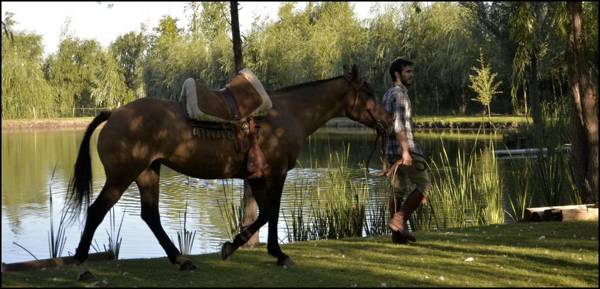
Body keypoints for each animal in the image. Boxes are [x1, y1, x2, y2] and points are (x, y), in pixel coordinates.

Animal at [67, 64, 394, 278]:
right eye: (368, 91)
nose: (389, 120)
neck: (288, 114)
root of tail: (114, 113)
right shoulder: (276, 175)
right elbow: (271, 214)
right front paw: (278, 254)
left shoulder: (258, 177)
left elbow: (263, 214)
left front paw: (234, 246)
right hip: (122, 176)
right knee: (97, 210)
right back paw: (80, 259)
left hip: (147, 172)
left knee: (150, 216)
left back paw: (181, 260)